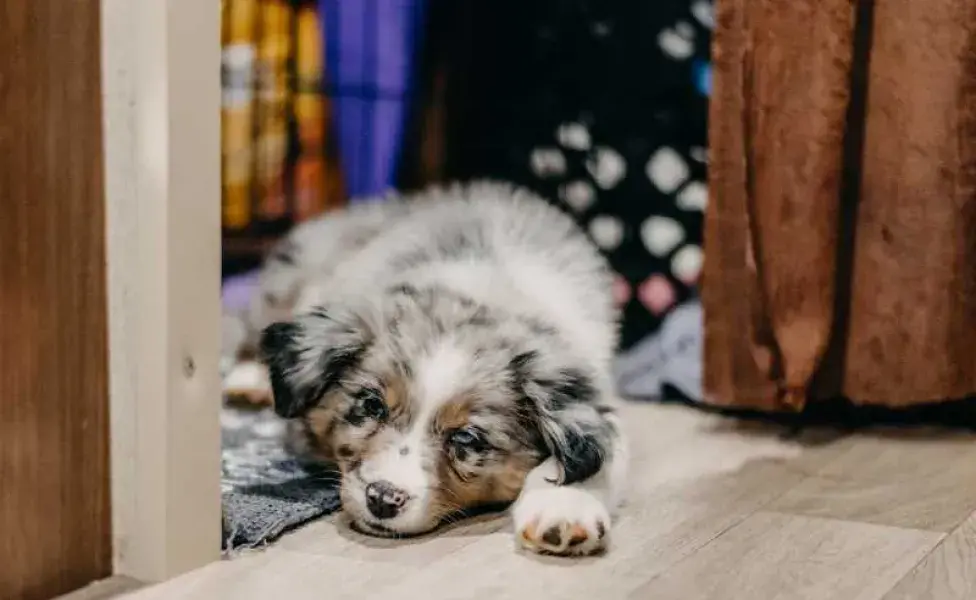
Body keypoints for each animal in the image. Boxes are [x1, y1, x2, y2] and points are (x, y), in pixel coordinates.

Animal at [226, 180, 628, 556]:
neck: (485, 294)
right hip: (288, 275)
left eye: (466, 439)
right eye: (372, 405)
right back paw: (248, 379)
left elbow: (600, 458)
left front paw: (565, 510)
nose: (383, 499)